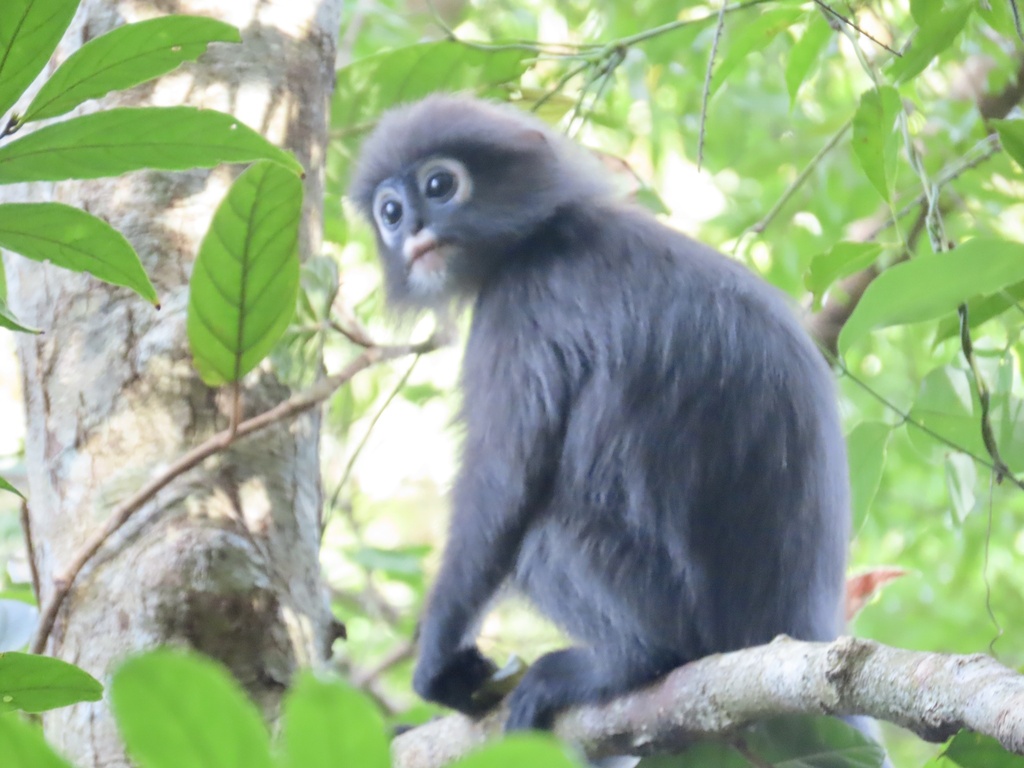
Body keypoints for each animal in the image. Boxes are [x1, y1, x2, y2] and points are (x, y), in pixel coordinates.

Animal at [350, 94, 862, 739]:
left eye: (439, 185)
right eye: (390, 212)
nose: (414, 228)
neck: (546, 233)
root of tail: (798, 623)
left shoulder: (522, 308)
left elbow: (502, 483)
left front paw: (439, 661)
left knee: (538, 537)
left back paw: (627, 661)